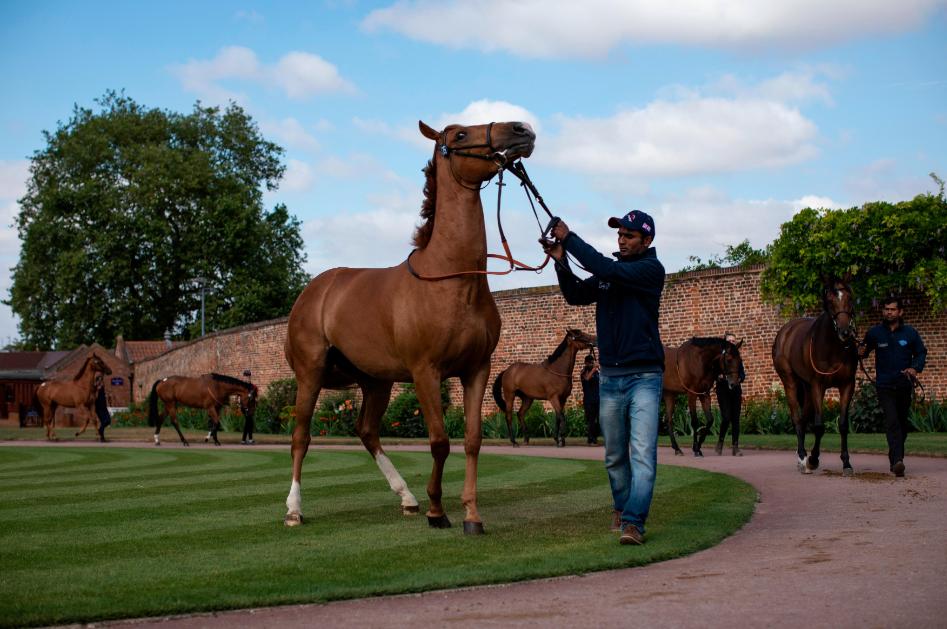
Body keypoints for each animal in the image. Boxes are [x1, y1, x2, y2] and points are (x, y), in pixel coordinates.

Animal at [282, 119, 536, 536]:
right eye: (460, 135)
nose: (521, 129)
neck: (451, 280)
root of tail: (315, 290)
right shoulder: (425, 372)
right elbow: (439, 441)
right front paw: (438, 510)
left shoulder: (476, 370)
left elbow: (472, 440)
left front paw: (471, 514)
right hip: (311, 374)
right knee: (301, 435)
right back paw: (293, 509)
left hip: (376, 381)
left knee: (367, 431)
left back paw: (406, 497)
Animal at [772, 278, 864, 474]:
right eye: (829, 301)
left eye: (850, 298)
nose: (845, 332)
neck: (833, 348)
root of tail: (785, 331)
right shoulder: (818, 386)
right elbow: (819, 426)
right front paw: (813, 459)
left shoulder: (847, 385)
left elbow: (843, 424)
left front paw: (846, 463)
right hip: (790, 382)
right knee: (797, 418)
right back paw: (802, 457)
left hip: (806, 388)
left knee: (804, 418)